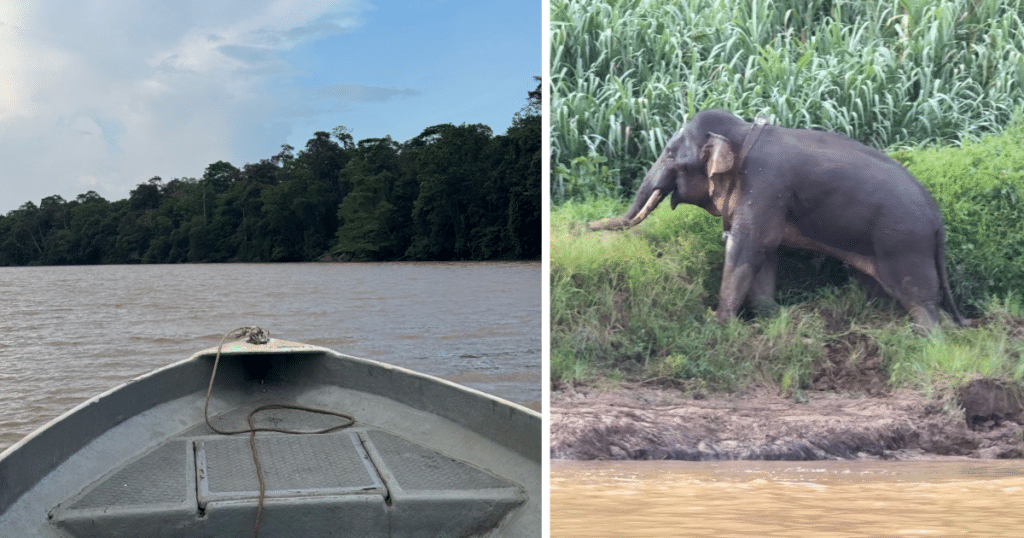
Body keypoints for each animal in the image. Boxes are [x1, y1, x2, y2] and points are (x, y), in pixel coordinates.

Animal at [589, 109, 965, 331]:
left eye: (669, 155)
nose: (584, 226)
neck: (743, 133)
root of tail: (937, 220)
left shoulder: (766, 185)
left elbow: (748, 246)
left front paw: (718, 323)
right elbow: (765, 253)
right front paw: (769, 321)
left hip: (904, 243)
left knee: (921, 302)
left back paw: (928, 340)